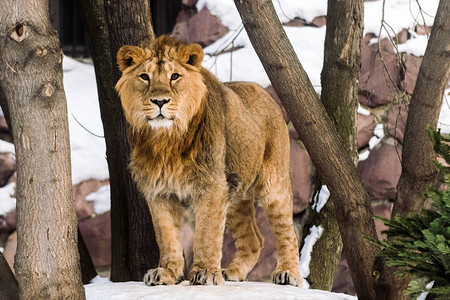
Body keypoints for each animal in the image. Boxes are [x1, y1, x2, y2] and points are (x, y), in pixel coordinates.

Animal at [115, 34, 302, 286]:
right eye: (145, 77)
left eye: (175, 76)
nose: (160, 101)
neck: (166, 140)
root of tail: (264, 92)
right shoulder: (158, 191)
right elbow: (167, 236)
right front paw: (166, 272)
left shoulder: (211, 186)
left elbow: (207, 233)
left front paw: (205, 272)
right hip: (233, 193)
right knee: (254, 239)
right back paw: (233, 273)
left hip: (273, 184)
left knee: (289, 232)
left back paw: (288, 273)